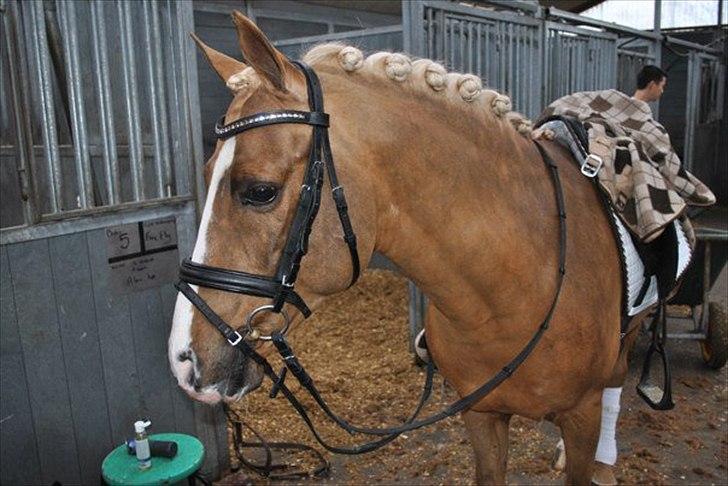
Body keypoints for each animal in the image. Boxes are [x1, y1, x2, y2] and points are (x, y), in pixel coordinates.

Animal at [168, 12, 647, 484]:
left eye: (260, 191)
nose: (183, 360)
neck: (520, 278)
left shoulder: (581, 415)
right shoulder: (482, 416)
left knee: (617, 379)